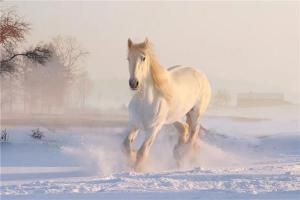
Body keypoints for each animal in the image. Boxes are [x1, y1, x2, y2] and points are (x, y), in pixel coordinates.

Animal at [122, 38, 211, 171]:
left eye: (143, 58)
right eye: (128, 58)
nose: (133, 83)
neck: (145, 102)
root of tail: (200, 74)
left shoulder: (154, 128)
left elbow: (142, 152)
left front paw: (137, 169)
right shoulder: (134, 124)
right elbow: (125, 146)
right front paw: (131, 159)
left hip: (196, 114)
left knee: (192, 136)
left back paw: (183, 156)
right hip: (174, 117)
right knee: (184, 128)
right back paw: (177, 152)